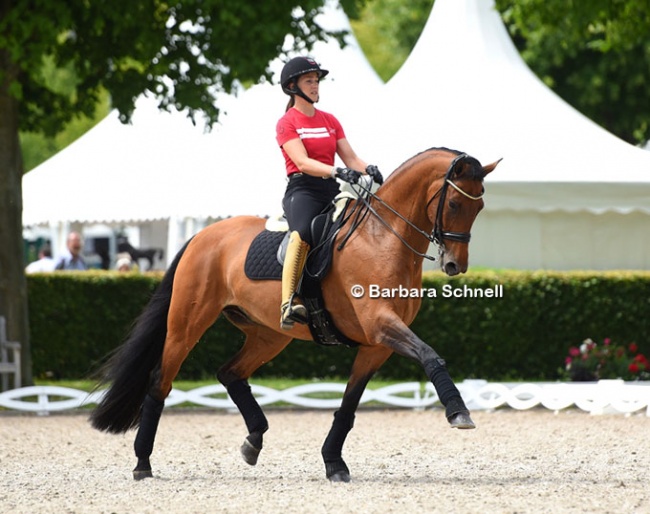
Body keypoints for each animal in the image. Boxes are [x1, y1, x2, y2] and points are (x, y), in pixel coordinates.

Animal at [90, 147, 496, 480]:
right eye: (455, 205)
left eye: (479, 208)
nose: (455, 265)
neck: (383, 238)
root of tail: (203, 236)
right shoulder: (381, 326)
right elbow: (430, 355)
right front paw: (458, 412)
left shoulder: (376, 344)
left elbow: (349, 403)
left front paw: (333, 462)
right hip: (186, 326)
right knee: (160, 381)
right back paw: (142, 463)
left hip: (269, 335)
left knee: (230, 373)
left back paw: (253, 441)